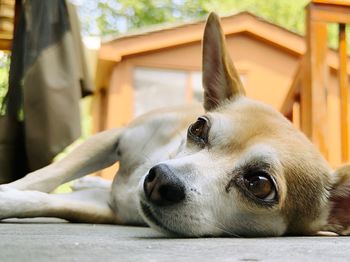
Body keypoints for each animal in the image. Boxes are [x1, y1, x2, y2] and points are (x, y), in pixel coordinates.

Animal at [0, 12, 350, 237]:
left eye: (260, 184)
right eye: (198, 128)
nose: (159, 179)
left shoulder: (105, 209)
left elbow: (39, 200)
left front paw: (8, 198)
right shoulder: (111, 137)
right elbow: (42, 178)